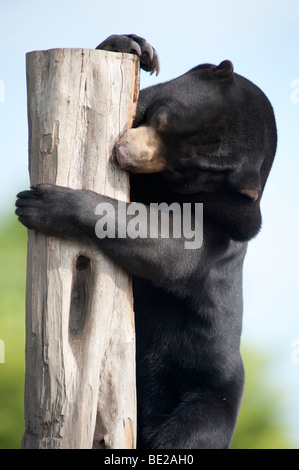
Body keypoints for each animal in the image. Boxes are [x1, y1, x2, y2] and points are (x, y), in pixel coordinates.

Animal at [15, 35, 278, 450]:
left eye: (183, 171)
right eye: (161, 119)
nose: (124, 152)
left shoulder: (223, 227)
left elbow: (166, 248)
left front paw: (41, 202)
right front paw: (132, 47)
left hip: (205, 406)